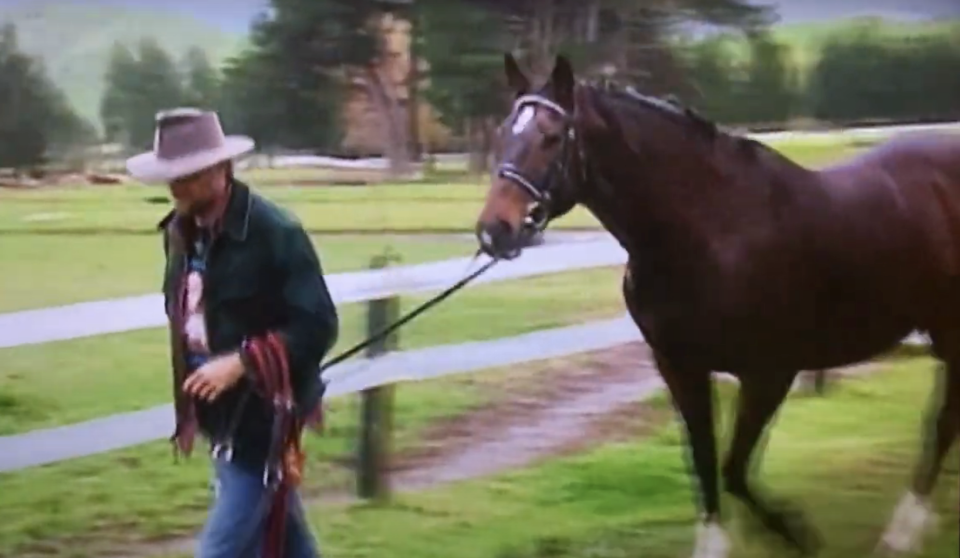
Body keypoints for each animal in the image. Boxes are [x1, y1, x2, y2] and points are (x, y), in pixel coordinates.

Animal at [474, 53, 960, 558]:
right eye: (503, 133)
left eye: (552, 137)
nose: (495, 230)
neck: (710, 231)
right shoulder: (680, 367)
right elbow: (705, 460)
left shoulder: (769, 373)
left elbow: (733, 468)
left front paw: (796, 531)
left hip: (952, 330)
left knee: (943, 422)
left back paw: (903, 531)